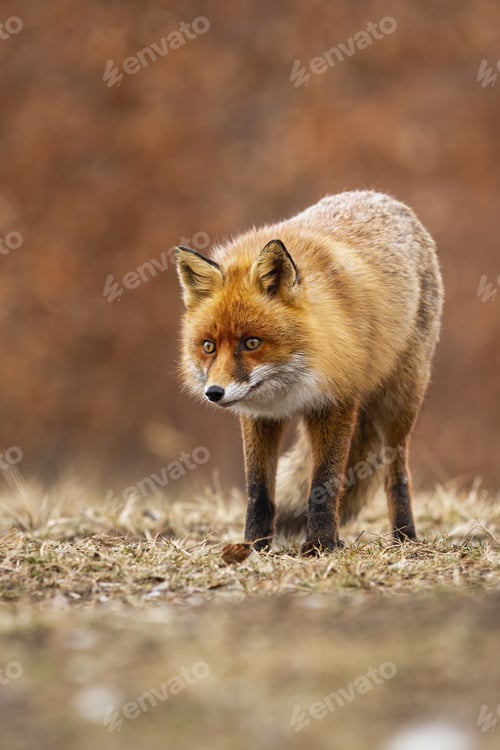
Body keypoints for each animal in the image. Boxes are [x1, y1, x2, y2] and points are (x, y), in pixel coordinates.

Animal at [176, 191, 443, 554]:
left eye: (251, 342)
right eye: (208, 347)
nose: (214, 393)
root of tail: (385, 198)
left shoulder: (336, 404)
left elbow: (324, 484)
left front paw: (321, 544)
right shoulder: (259, 416)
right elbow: (259, 490)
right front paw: (254, 545)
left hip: (400, 402)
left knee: (397, 473)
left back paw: (405, 536)